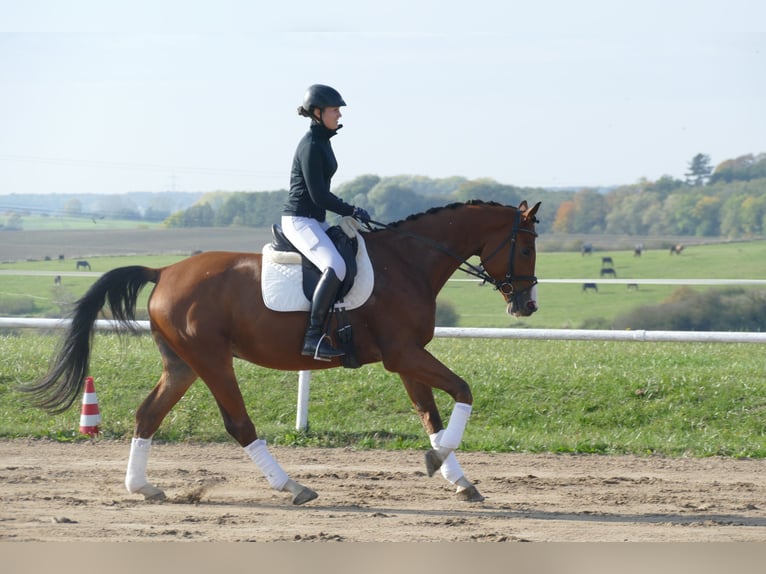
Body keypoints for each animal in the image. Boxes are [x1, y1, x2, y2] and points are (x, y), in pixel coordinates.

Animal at [21, 200, 544, 506]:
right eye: (526, 248)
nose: (527, 305)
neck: (408, 261)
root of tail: (165, 270)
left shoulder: (408, 357)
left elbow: (431, 415)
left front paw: (456, 477)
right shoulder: (403, 354)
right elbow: (463, 390)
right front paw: (440, 464)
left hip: (183, 364)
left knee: (148, 413)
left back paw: (143, 487)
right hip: (212, 360)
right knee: (238, 424)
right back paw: (292, 486)